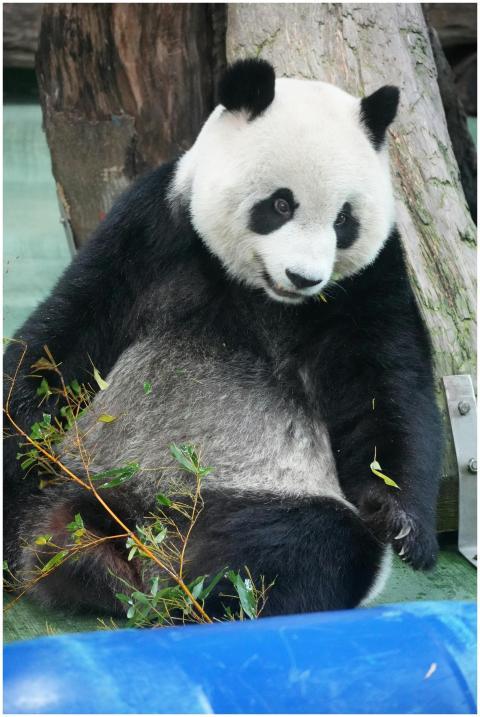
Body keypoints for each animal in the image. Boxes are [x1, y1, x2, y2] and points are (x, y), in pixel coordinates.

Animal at [4, 59, 442, 618]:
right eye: (281, 204)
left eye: (344, 219)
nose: (305, 277)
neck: (260, 291)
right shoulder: (154, 225)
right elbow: (70, 333)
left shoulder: (367, 281)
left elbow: (385, 384)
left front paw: (403, 524)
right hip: (72, 471)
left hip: (247, 494)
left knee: (309, 546)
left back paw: (160, 584)